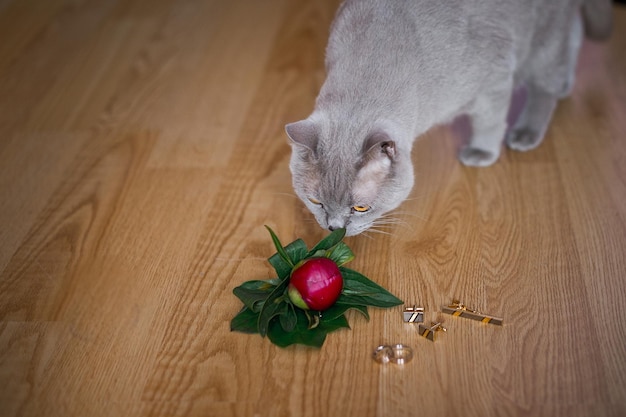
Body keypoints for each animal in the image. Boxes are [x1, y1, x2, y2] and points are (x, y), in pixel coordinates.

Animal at [284, 0, 608, 234]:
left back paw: (527, 131)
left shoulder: (493, 81)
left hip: (543, 40)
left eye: (361, 208)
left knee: (545, 86)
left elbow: (490, 122)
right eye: (316, 201)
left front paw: (481, 153)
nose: (333, 228)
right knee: (573, 39)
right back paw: (566, 84)